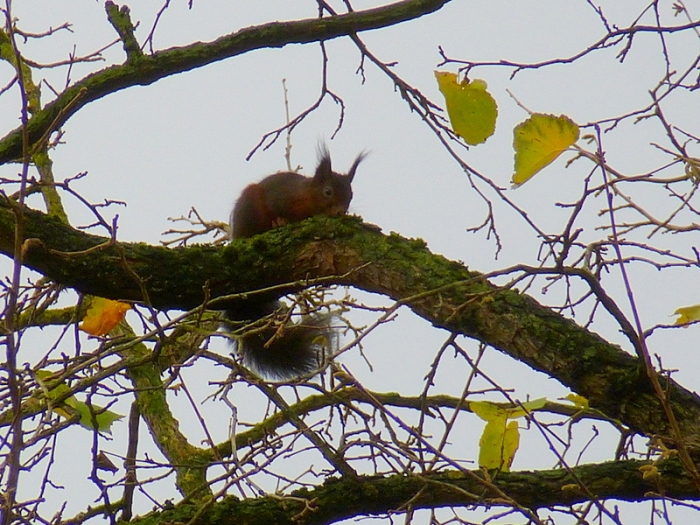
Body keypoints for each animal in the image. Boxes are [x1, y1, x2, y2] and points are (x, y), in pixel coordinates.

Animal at [227, 146, 366, 379]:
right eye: (328, 191)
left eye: (351, 194)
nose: (341, 212)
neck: (307, 199)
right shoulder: (281, 196)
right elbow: (277, 210)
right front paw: (280, 220)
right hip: (249, 207)